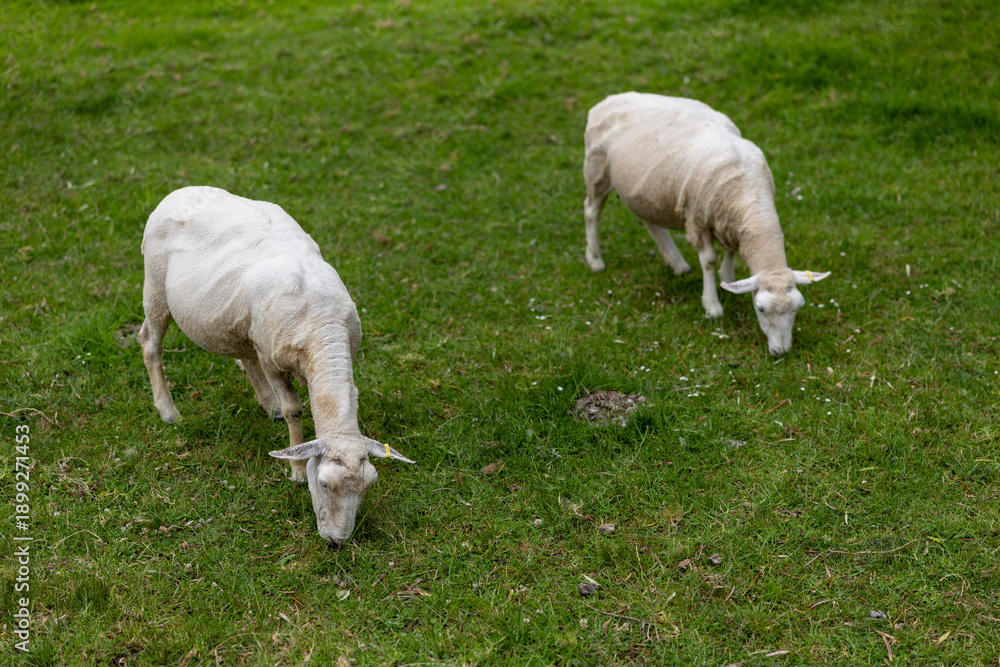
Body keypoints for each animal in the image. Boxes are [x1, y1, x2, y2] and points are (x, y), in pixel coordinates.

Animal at [138, 185, 413, 546]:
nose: (337, 541)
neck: (323, 331)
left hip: (244, 326)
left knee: (244, 356)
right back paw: (167, 410)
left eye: (369, 485)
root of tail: (182, 190)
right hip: (156, 290)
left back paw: (268, 405)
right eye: (324, 484)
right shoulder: (273, 362)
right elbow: (295, 409)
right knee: (149, 343)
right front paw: (295, 469)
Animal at [582, 92, 829, 355]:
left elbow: (731, 251)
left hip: (646, 191)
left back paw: (677, 263)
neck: (750, 196)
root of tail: (610, 99)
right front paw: (712, 306)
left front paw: (728, 277)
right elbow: (709, 261)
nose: (781, 352)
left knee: (650, 222)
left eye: (798, 307)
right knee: (591, 212)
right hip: (596, 170)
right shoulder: (697, 221)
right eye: (760, 308)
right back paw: (595, 260)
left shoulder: (730, 222)